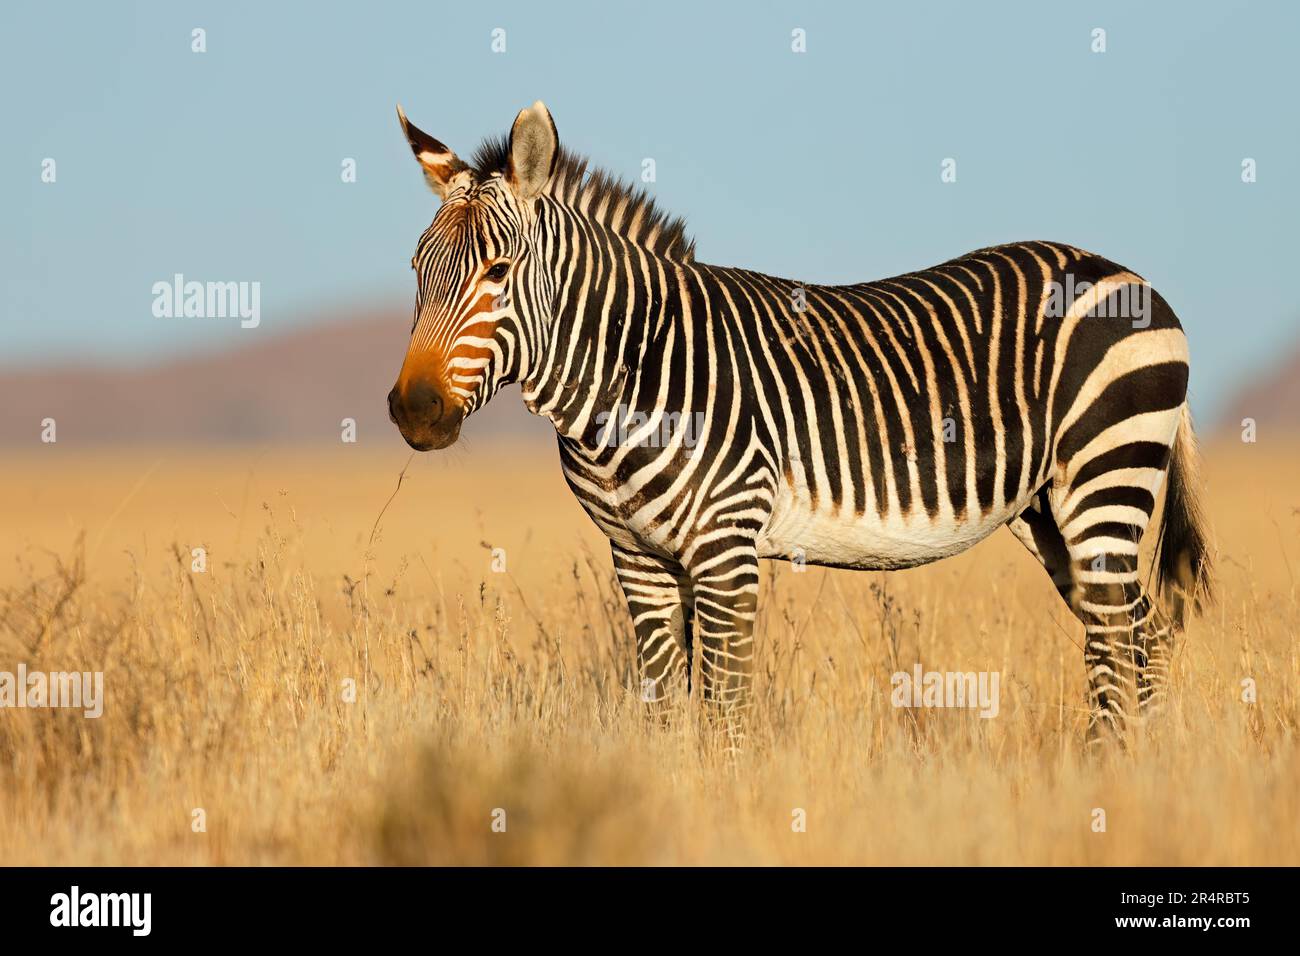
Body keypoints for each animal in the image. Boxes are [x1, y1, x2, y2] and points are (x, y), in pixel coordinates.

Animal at [386, 100, 1213, 746]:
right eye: (417, 270)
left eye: (497, 273)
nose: (414, 411)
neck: (634, 374)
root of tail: (1131, 278)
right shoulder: (638, 558)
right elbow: (665, 711)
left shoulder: (726, 548)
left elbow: (724, 709)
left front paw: (723, 801)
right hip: (1051, 511)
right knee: (1141, 633)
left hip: (1106, 474)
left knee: (1117, 645)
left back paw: (1113, 776)